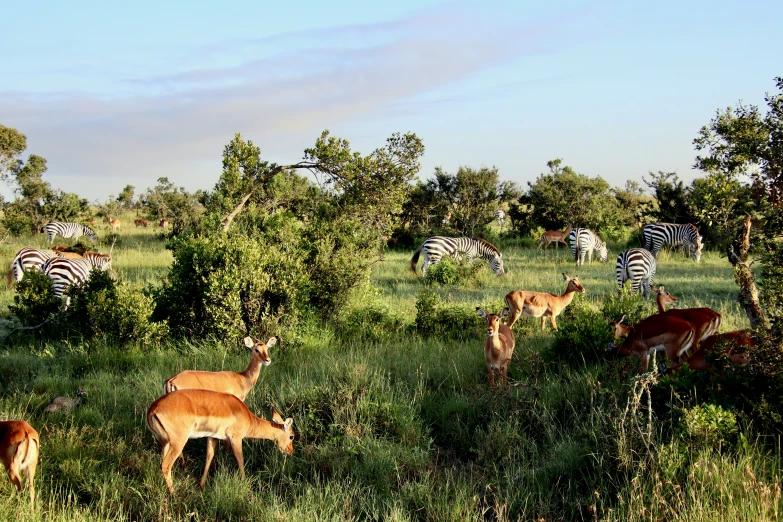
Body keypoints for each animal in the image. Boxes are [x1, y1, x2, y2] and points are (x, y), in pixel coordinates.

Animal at [145, 388, 296, 494]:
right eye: (292, 436)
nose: (290, 451)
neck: (247, 417)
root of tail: (153, 409)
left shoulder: (213, 437)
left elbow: (209, 457)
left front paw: (202, 485)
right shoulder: (235, 438)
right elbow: (240, 460)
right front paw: (245, 483)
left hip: (165, 443)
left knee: (161, 464)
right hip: (178, 442)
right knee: (165, 465)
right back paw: (174, 494)